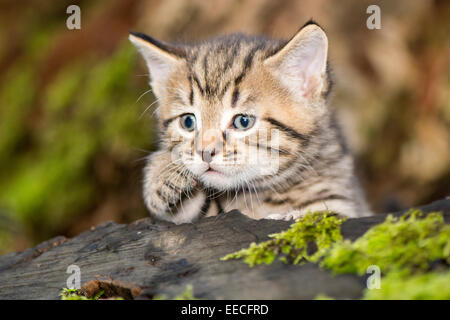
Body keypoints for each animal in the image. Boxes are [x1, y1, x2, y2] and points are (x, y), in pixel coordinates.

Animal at [128, 21, 370, 224]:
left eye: (243, 122)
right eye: (188, 121)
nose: (205, 152)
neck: (263, 192)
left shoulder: (344, 200)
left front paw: (292, 215)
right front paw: (162, 172)